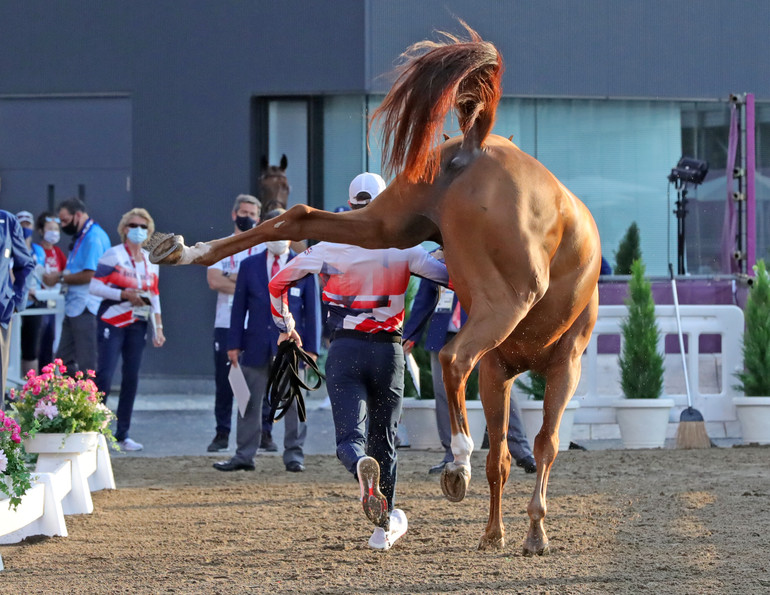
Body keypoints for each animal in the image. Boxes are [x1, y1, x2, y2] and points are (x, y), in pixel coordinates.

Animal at [147, 22, 596, 556]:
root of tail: (475, 144)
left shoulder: (499, 371)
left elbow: (504, 457)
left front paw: (495, 534)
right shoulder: (560, 366)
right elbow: (544, 446)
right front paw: (533, 533)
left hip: (386, 226)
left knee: (299, 215)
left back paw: (182, 249)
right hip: (506, 300)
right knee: (453, 358)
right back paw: (456, 462)